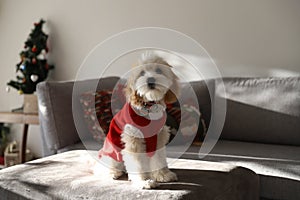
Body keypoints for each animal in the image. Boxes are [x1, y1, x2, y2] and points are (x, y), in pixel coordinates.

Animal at [97, 52, 179, 188]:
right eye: (142, 73)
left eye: (158, 70)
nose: (150, 80)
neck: (149, 107)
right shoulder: (133, 140)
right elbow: (137, 164)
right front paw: (143, 181)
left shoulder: (158, 137)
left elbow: (159, 158)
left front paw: (163, 175)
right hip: (112, 155)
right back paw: (112, 173)